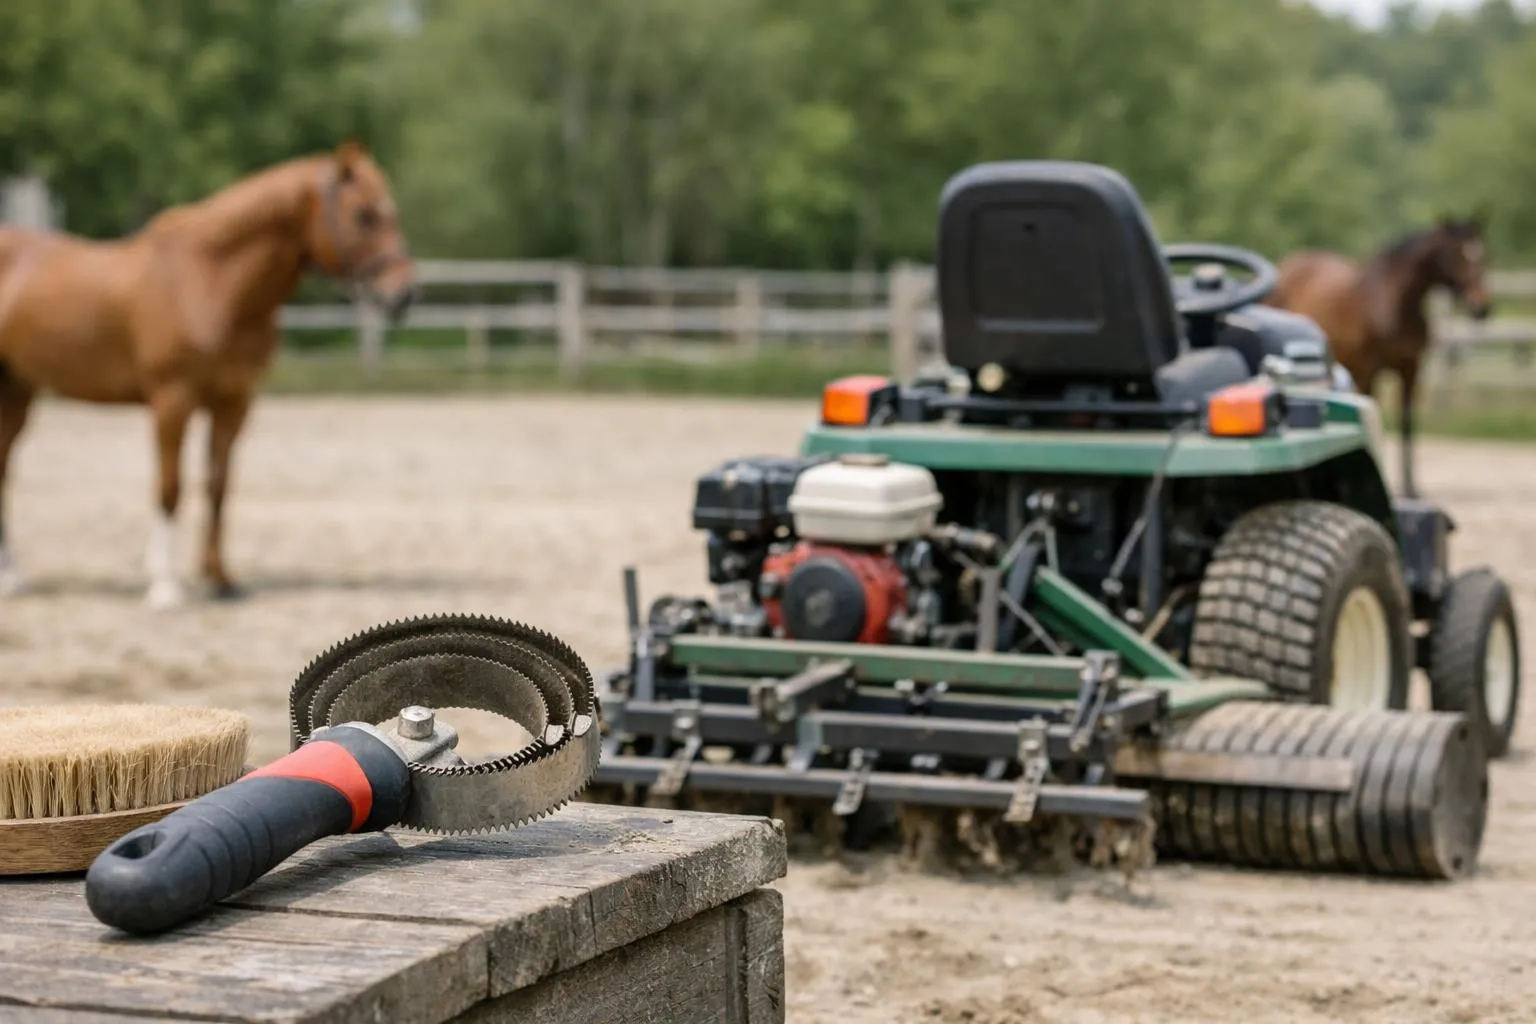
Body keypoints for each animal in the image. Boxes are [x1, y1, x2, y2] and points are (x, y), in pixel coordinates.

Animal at [0, 141, 416, 609]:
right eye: (364, 214)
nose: (403, 294)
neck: (210, 281)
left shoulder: (233, 403)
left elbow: (218, 486)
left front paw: (220, 580)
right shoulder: (172, 400)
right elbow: (170, 486)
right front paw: (165, 586)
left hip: (17, 392)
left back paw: (12, 577)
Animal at [1264, 215, 1492, 499]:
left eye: (1483, 254)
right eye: (1456, 254)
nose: (1481, 307)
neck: (1393, 304)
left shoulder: (1411, 369)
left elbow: (1406, 421)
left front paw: (1410, 488)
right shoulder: (1368, 372)